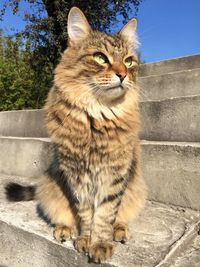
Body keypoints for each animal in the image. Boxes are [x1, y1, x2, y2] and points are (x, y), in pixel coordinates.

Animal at [5, 5, 147, 264]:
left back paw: (120, 231)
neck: (97, 118)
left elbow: (105, 214)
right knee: (63, 216)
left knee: (121, 216)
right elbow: (85, 214)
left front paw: (100, 244)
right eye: (100, 58)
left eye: (129, 61)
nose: (123, 74)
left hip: (136, 188)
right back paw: (64, 230)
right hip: (51, 185)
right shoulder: (76, 175)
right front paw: (85, 240)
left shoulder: (115, 174)